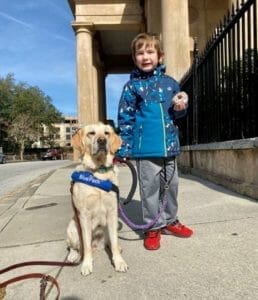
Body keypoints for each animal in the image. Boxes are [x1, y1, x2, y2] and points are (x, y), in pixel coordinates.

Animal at [66, 122, 127, 276]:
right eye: (91, 133)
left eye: (106, 133)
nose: (102, 141)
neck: (99, 172)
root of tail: (97, 244)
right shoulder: (84, 215)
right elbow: (86, 246)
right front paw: (86, 264)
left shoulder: (112, 212)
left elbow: (115, 243)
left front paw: (119, 261)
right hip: (72, 227)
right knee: (75, 247)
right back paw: (73, 256)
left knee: (111, 242)